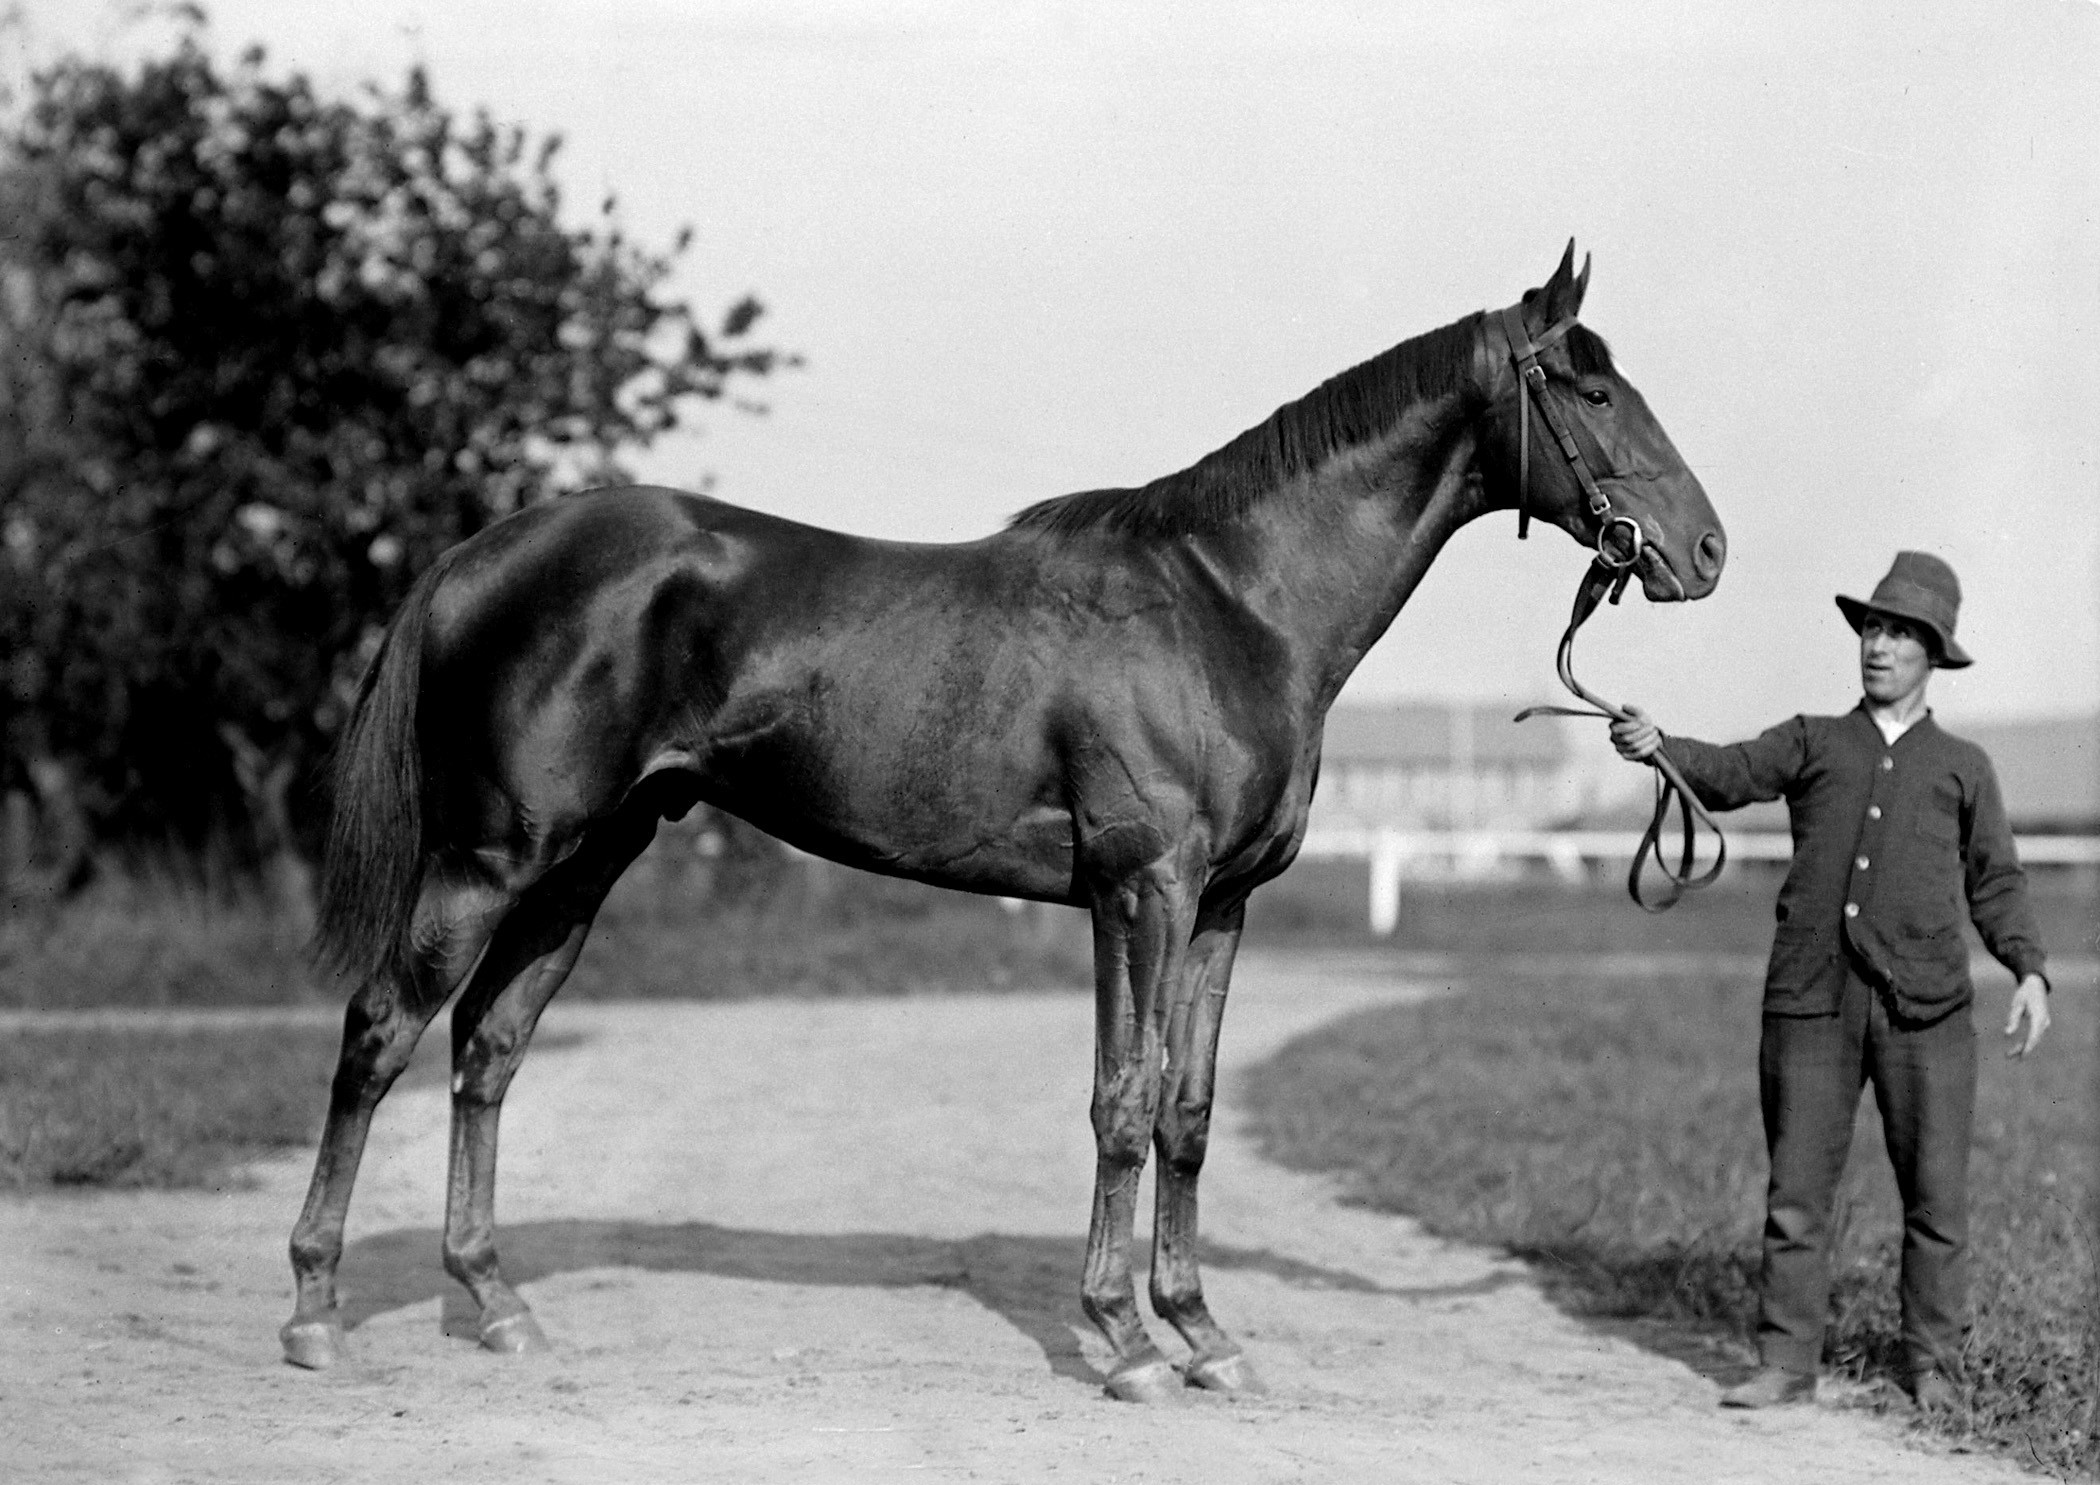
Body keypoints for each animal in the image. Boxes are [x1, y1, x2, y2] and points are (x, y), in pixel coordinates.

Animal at [279, 243, 1721, 1403]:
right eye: (1591, 389)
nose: (1704, 551)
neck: (1232, 603)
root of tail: (481, 555)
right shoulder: (1143, 891)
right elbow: (1122, 1106)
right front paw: (1125, 1343)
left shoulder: (1223, 904)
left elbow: (1189, 1112)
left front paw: (1204, 1335)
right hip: (489, 857)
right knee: (382, 1031)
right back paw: (312, 1312)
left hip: (588, 862)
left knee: (489, 1048)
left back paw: (498, 1305)